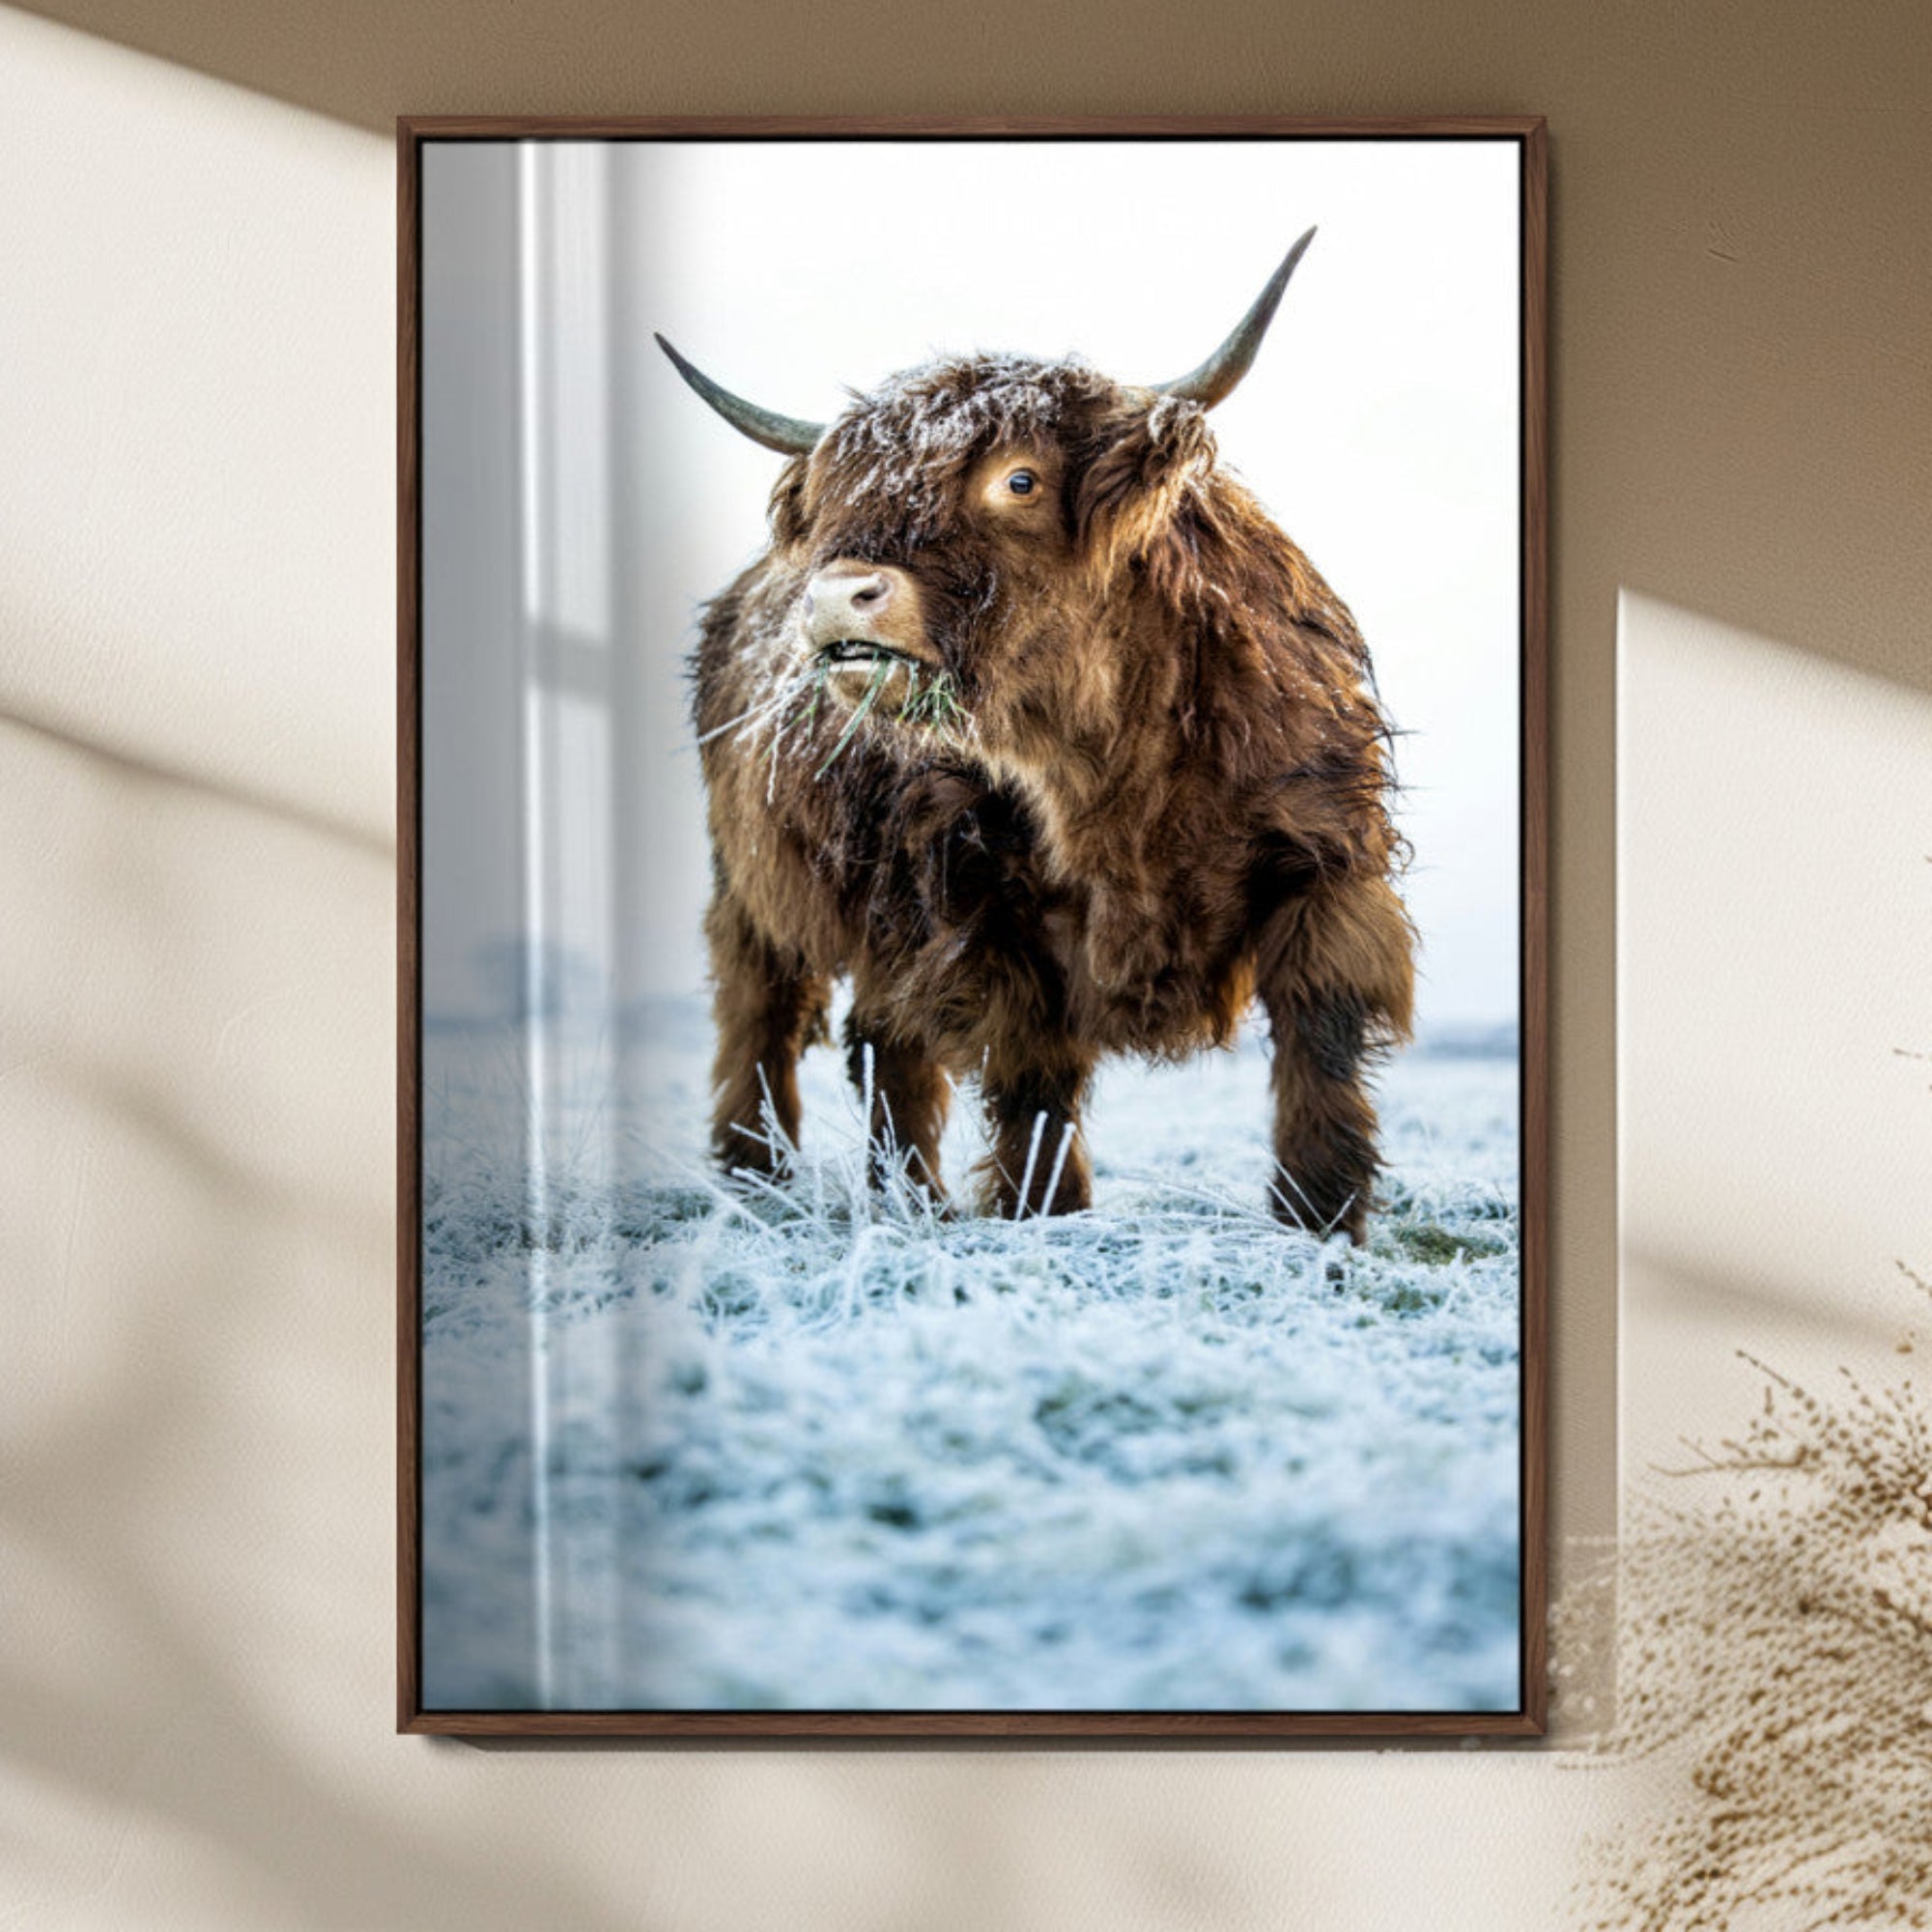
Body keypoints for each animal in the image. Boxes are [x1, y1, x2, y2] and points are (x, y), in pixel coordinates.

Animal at [657, 230, 1415, 1243]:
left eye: (1019, 479)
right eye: (834, 498)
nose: (838, 596)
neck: (1108, 775)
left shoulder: (1322, 863)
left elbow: (1321, 1037)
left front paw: (1321, 1219)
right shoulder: (979, 909)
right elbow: (1034, 1073)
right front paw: (1045, 1210)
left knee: (883, 1043)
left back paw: (907, 1200)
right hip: (754, 889)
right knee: (765, 1016)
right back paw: (757, 1175)